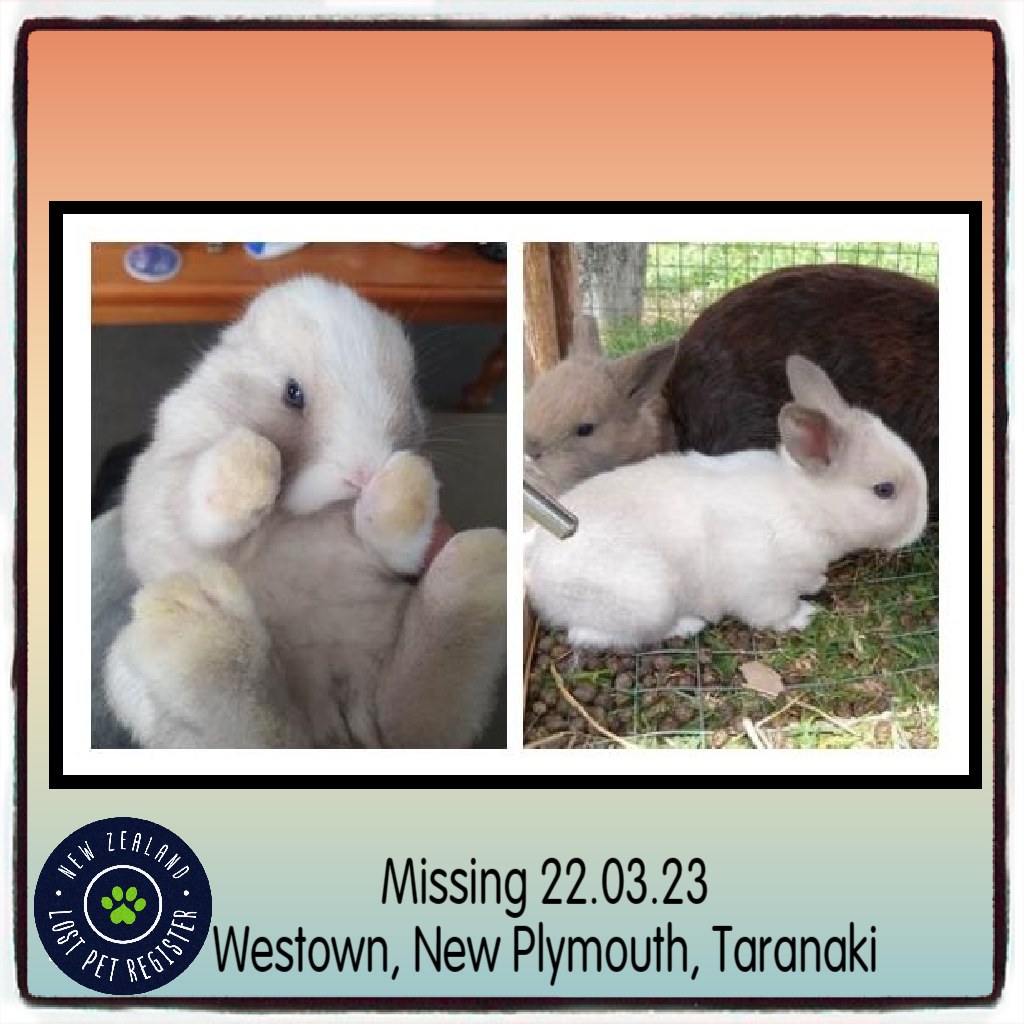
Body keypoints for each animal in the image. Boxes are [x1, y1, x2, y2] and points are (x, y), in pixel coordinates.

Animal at [104, 275, 507, 749]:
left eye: (408, 388)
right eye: (292, 394)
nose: (362, 474)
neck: (311, 516)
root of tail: (338, 721)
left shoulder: (391, 553)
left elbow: (395, 538)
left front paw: (407, 477)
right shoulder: (167, 481)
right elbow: (206, 494)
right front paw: (253, 455)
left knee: (415, 719)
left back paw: (480, 564)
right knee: (260, 729)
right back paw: (194, 617)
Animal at [525, 355, 928, 649]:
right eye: (884, 490)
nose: (920, 527)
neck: (807, 505)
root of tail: (537, 574)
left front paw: (816, 583)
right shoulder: (760, 581)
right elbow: (773, 611)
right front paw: (803, 616)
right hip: (648, 599)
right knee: (595, 635)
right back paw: (687, 625)